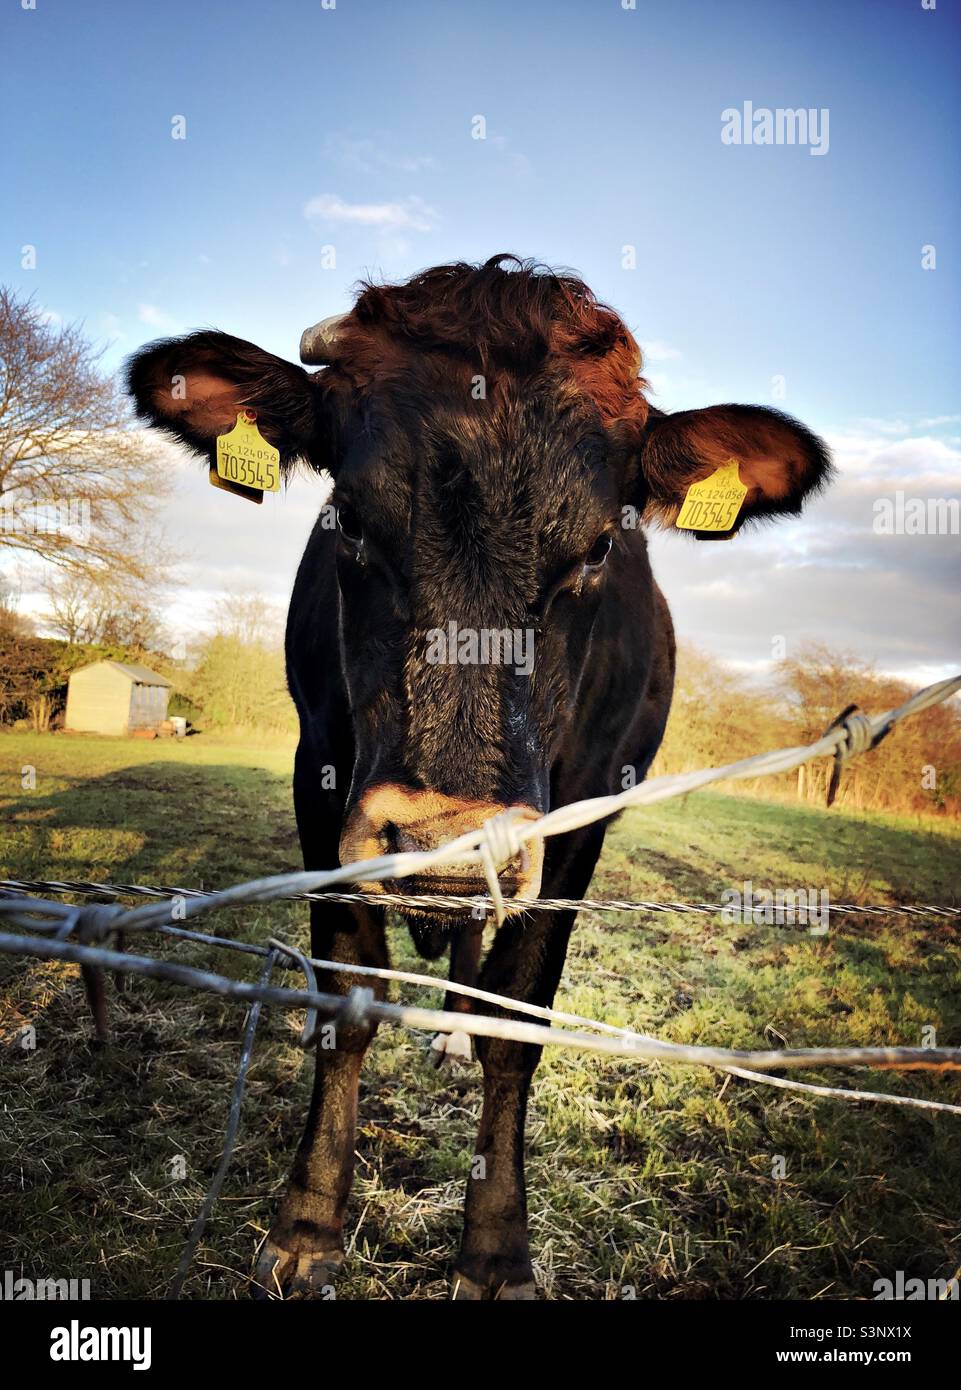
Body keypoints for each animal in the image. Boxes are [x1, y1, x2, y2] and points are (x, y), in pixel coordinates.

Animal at [130, 255, 834, 1295]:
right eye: (348, 521)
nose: (442, 846)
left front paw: (497, 1244)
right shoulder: (321, 778)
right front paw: (308, 1221)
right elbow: (348, 1001)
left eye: (599, 546)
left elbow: (521, 1023)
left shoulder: (582, 813)